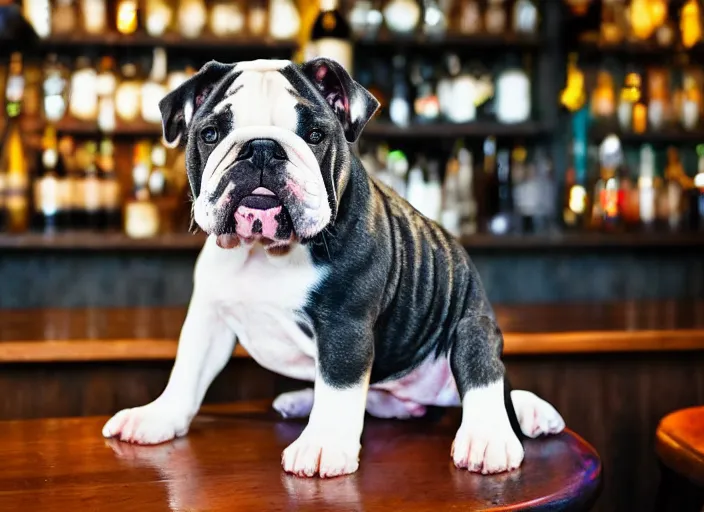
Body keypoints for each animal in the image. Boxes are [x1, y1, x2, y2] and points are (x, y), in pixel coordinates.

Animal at [103, 58, 568, 478]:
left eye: (314, 135)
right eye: (211, 134)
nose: (261, 148)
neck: (268, 250)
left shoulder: (345, 325)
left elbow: (340, 385)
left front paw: (323, 444)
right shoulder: (209, 317)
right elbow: (187, 372)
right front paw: (157, 417)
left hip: (472, 327)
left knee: (489, 383)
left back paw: (499, 432)